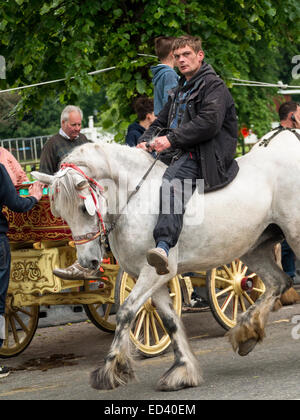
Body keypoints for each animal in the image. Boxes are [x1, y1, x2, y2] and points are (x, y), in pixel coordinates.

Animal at [33, 128, 300, 390]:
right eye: (61, 214)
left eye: (83, 208)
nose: (88, 262)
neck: (134, 199)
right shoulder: (153, 277)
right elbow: (169, 321)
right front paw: (182, 370)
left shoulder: (154, 272)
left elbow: (126, 311)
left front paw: (112, 368)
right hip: (253, 248)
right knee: (278, 282)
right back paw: (246, 332)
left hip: (294, 235)